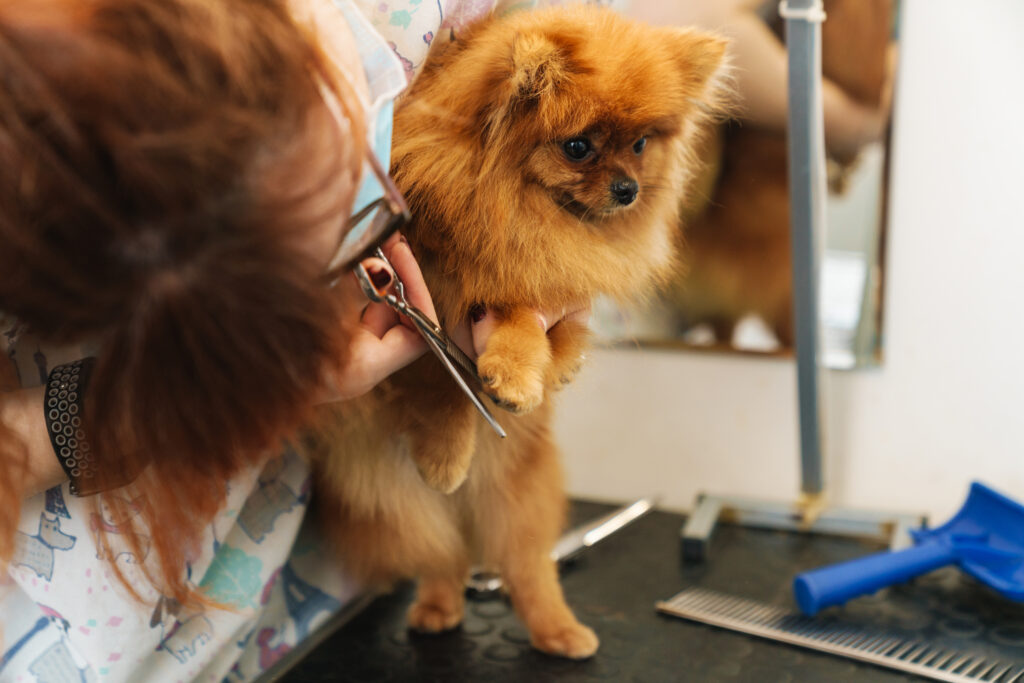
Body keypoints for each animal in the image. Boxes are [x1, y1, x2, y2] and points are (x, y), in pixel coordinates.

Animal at [311, 3, 729, 655]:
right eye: (578, 147)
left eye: (640, 144)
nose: (628, 190)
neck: (518, 213)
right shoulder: (431, 313)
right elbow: (444, 383)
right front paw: (450, 448)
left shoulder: (547, 296)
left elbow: (536, 329)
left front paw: (532, 371)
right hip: (400, 506)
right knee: (446, 558)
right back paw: (439, 601)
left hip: (523, 502)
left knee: (527, 570)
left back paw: (559, 632)